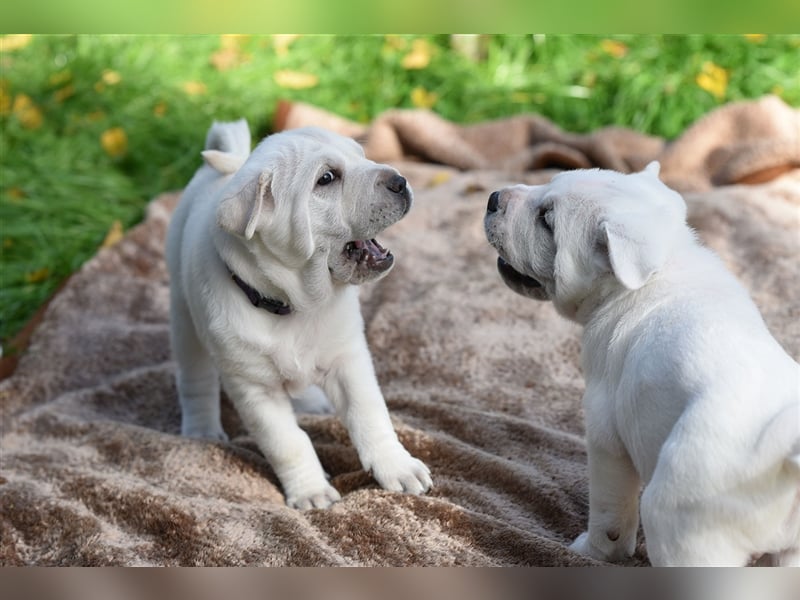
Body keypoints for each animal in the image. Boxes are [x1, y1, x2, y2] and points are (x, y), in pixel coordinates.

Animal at [166, 120, 434, 510]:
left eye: (361, 154)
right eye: (327, 178)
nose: (400, 180)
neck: (295, 306)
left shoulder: (348, 359)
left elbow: (370, 415)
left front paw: (398, 467)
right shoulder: (255, 390)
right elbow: (289, 443)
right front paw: (311, 492)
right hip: (184, 320)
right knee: (195, 379)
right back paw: (201, 429)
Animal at [484, 162, 800, 564]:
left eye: (546, 220)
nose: (493, 198)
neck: (661, 266)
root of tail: (784, 450)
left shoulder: (604, 433)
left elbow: (610, 511)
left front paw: (591, 550)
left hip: (680, 519)